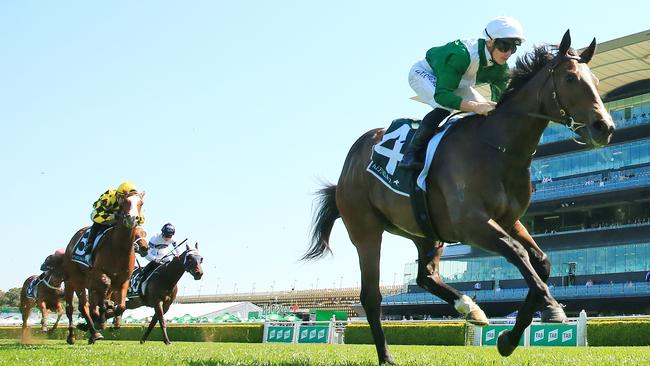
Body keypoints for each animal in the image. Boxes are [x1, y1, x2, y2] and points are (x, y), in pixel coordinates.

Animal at [60, 193, 147, 344]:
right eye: (124, 202)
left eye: (140, 203)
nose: (132, 218)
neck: (119, 248)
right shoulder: (97, 273)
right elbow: (105, 286)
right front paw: (103, 313)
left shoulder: (123, 279)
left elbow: (121, 306)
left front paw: (107, 315)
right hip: (74, 280)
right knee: (75, 307)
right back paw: (76, 336)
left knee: (88, 305)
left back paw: (94, 329)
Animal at [302, 31, 612, 364]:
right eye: (570, 78)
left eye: (595, 79)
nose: (605, 127)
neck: (499, 149)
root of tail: (349, 166)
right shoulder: (471, 224)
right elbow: (518, 254)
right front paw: (552, 309)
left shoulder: (510, 220)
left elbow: (540, 262)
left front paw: (509, 338)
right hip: (366, 230)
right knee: (371, 295)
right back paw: (386, 355)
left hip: (425, 231)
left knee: (425, 277)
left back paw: (470, 307)